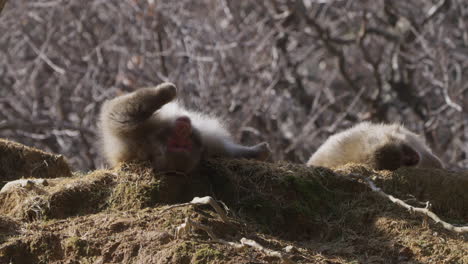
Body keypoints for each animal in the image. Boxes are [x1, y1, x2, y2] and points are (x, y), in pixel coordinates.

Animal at [100, 83, 272, 173]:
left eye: (185, 143)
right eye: (174, 140)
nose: (183, 129)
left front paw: (257, 152)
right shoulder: (132, 135)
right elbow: (119, 115)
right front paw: (166, 92)